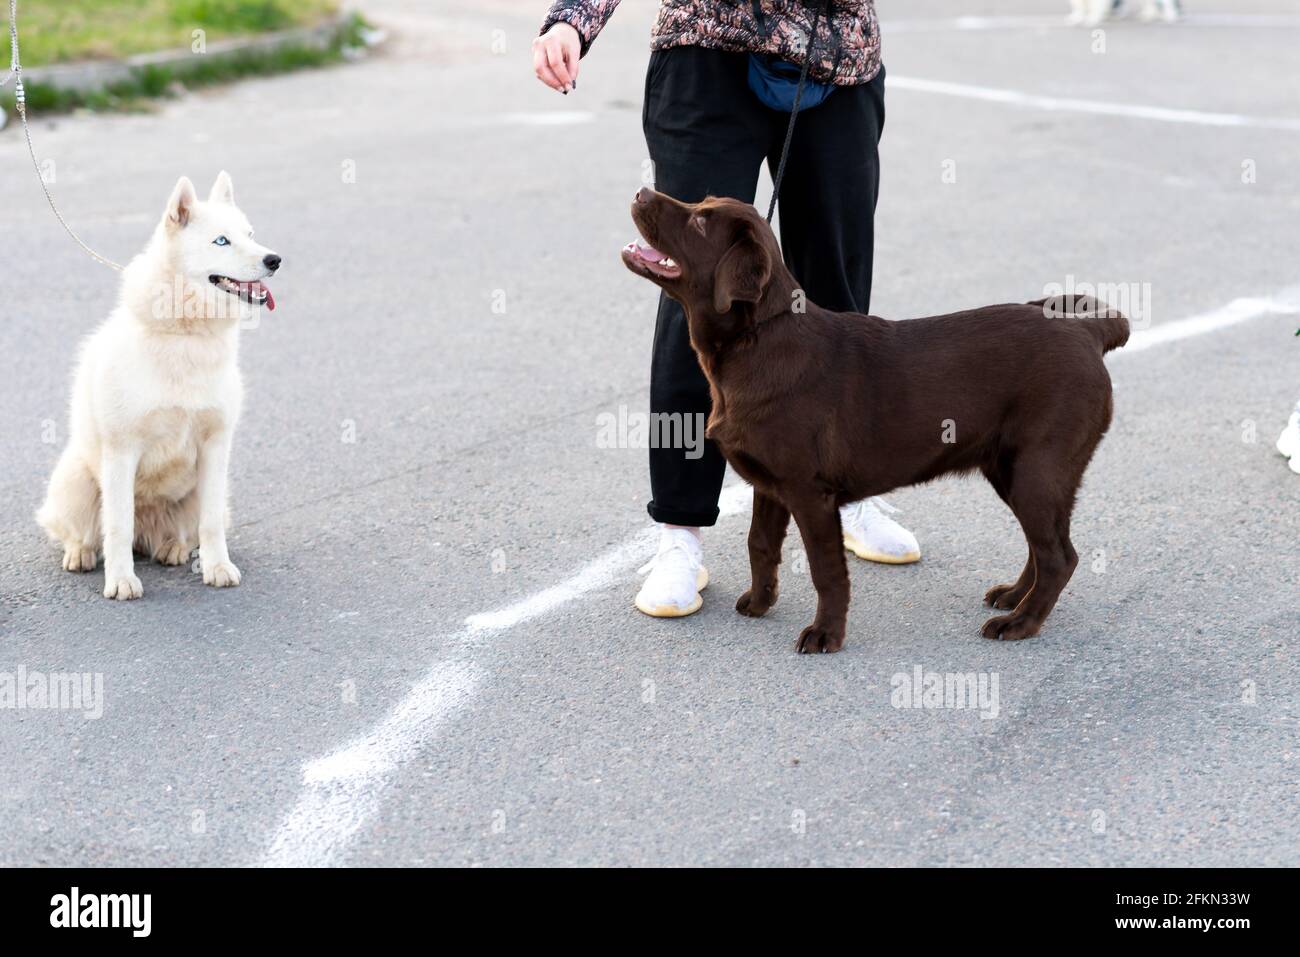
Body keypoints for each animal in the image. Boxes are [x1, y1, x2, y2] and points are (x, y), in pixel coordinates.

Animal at [36, 171, 279, 598]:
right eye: (221, 240)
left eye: (250, 234)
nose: (275, 260)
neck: (186, 336)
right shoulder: (121, 451)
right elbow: (117, 525)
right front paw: (120, 580)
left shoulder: (216, 446)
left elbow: (210, 525)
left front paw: (217, 568)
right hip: (75, 481)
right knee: (90, 533)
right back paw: (81, 553)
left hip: (205, 494)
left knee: (188, 529)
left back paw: (173, 548)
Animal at [621, 188, 1128, 650]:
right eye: (700, 204)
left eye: (701, 222)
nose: (642, 191)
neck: (757, 339)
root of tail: (1086, 329)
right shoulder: (769, 486)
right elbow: (760, 545)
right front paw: (759, 603)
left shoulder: (810, 493)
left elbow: (827, 571)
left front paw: (826, 635)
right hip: (1011, 468)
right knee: (1044, 546)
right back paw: (1013, 597)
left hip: (1037, 468)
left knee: (1059, 556)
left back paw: (1020, 623)